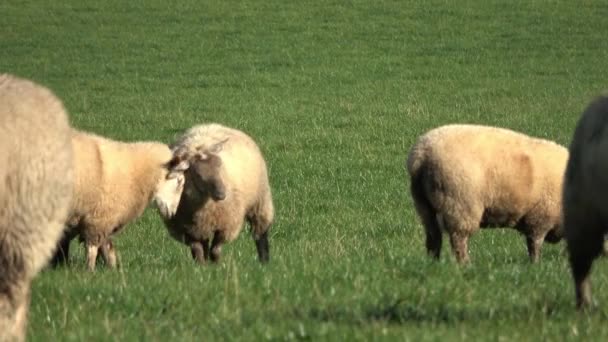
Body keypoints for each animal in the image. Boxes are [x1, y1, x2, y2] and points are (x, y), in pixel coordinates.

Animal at [50, 130, 185, 272]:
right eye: (179, 181)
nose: (174, 213)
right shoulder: (99, 218)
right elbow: (93, 249)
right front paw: (90, 271)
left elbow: (107, 249)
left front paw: (113, 270)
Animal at [158, 123, 274, 264]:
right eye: (198, 175)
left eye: (220, 166)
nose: (222, 194)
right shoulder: (186, 230)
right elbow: (197, 250)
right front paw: (201, 266)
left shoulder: (227, 225)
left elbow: (215, 249)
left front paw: (217, 265)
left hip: (260, 200)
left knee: (260, 233)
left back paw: (264, 261)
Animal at [406, 124, 568, 264]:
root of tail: (422, 155)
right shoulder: (540, 217)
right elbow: (535, 245)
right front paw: (535, 265)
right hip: (460, 205)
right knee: (459, 240)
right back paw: (466, 265)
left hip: (424, 206)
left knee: (433, 237)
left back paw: (433, 263)